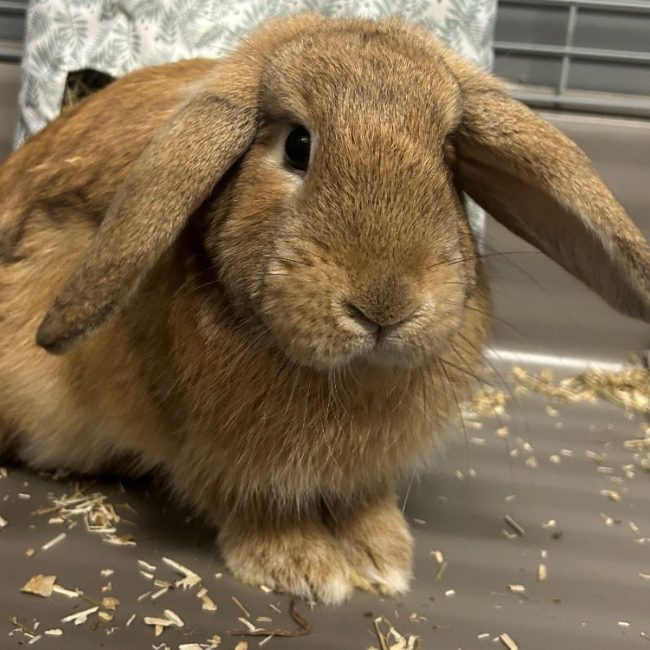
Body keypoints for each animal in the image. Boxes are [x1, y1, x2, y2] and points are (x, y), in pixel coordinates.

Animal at [1, 13, 650, 605]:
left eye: (448, 154)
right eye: (297, 144)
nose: (385, 306)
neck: (347, 376)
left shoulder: (364, 474)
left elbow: (364, 504)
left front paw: (383, 556)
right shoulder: (210, 456)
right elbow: (250, 503)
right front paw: (303, 565)